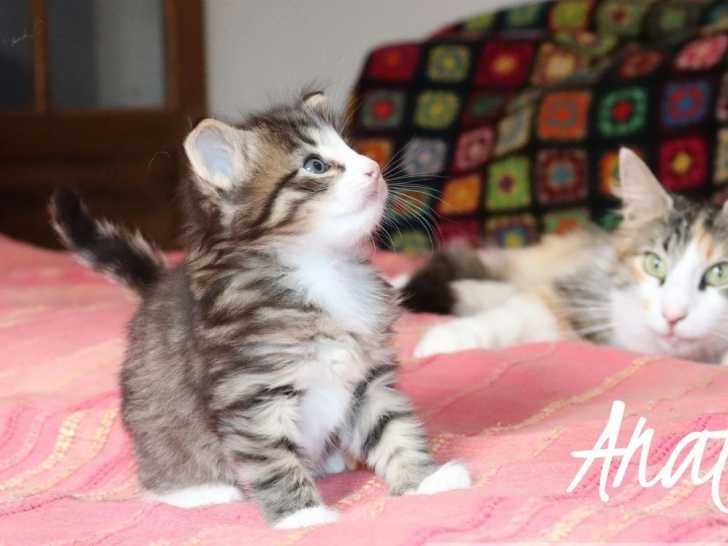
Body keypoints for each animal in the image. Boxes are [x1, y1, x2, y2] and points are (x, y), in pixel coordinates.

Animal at [50, 91, 470, 529]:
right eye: (315, 165)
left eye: (351, 148)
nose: (373, 168)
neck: (321, 266)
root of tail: (157, 287)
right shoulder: (252, 396)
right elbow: (274, 462)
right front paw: (303, 517)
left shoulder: (367, 381)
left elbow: (393, 429)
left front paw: (425, 480)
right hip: (158, 423)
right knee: (161, 466)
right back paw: (198, 490)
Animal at [403, 148, 728, 365]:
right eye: (655, 264)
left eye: (720, 273)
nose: (672, 316)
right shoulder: (581, 298)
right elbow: (519, 312)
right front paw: (440, 342)